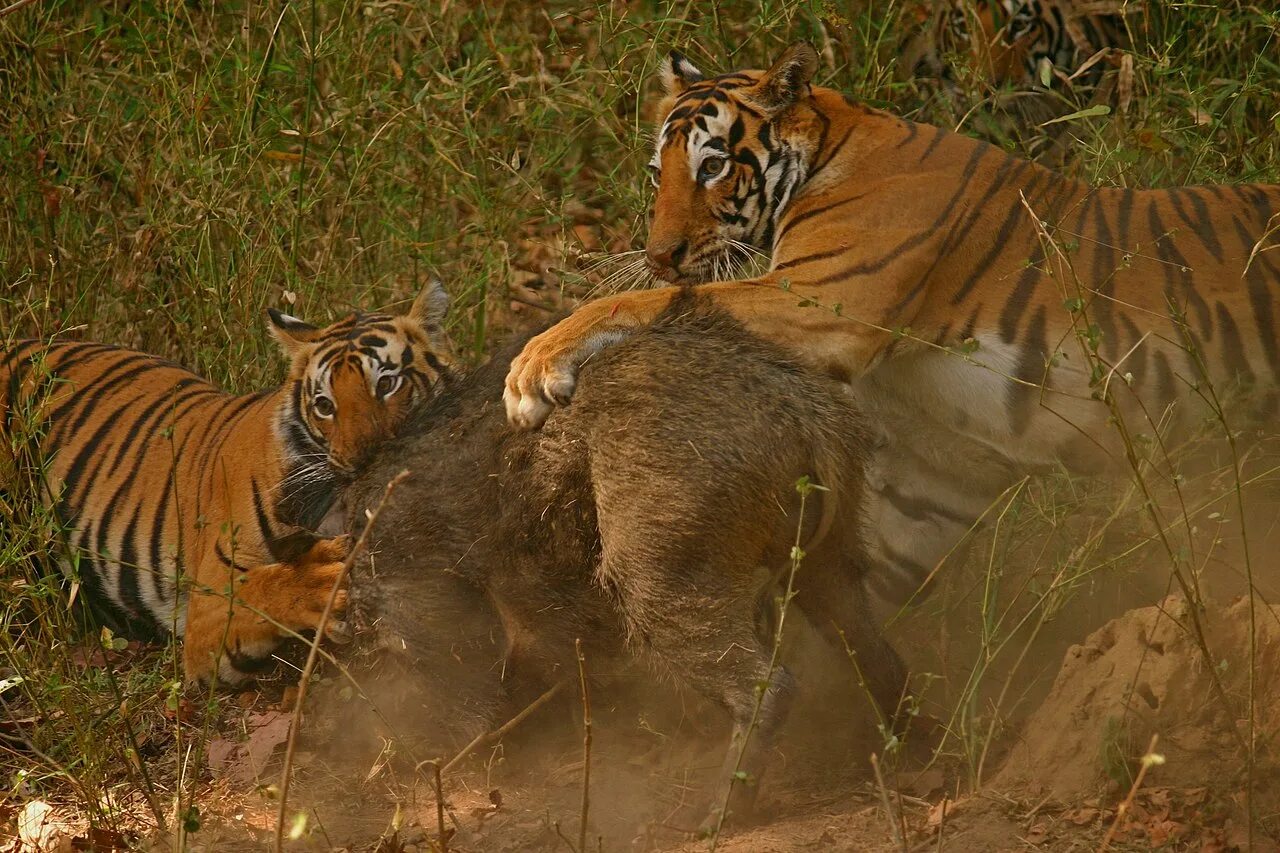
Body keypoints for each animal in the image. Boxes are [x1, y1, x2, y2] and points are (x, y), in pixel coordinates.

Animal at [0, 281, 453, 681]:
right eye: (325, 405)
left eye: (387, 383)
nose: (362, 462)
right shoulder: (206, 610)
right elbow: (260, 591)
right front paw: (324, 583)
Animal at [501, 43, 1280, 601]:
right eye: (655, 172)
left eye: (713, 166)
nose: (660, 255)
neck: (830, 149)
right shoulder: (932, 476)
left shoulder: (822, 301)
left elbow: (642, 305)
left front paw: (532, 371)